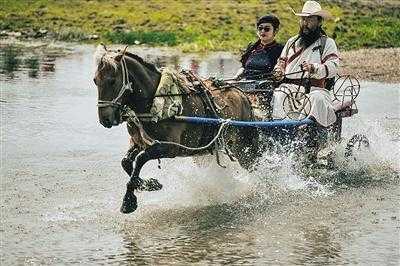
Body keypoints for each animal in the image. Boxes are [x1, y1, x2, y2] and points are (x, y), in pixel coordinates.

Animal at [93, 44, 260, 214]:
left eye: (112, 81)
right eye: (95, 81)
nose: (105, 119)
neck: (156, 100)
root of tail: (243, 94)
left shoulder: (170, 148)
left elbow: (140, 159)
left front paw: (128, 200)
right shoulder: (138, 141)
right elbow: (126, 162)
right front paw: (149, 184)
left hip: (244, 146)